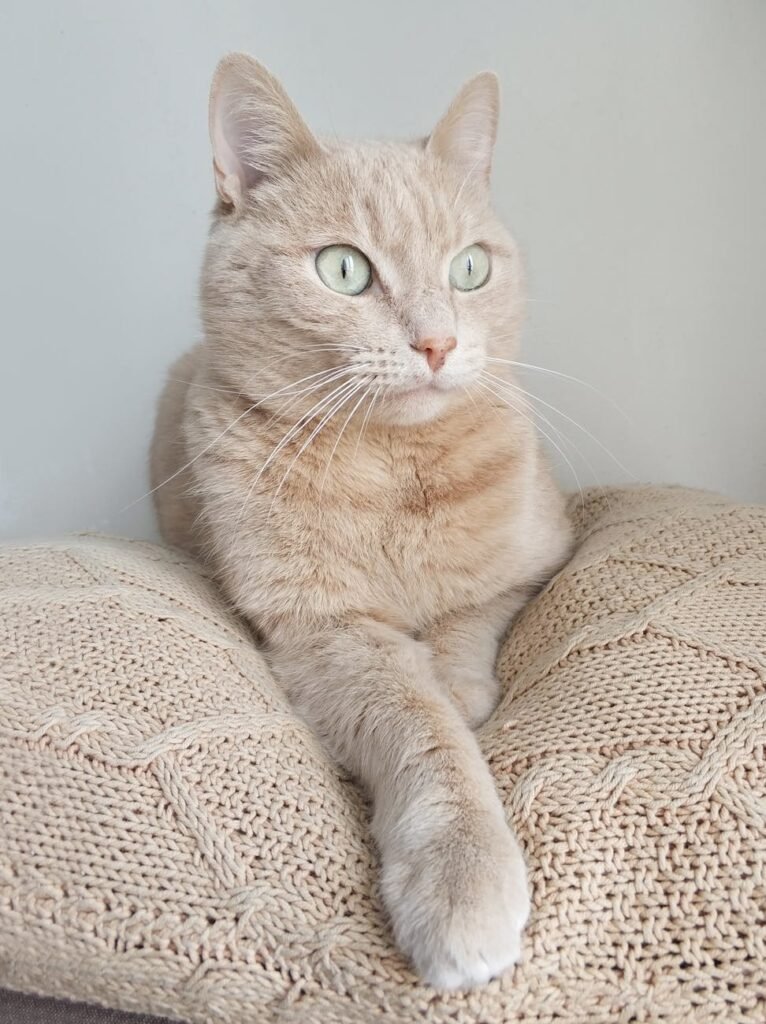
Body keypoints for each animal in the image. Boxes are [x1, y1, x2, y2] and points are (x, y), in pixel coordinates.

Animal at [149, 51, 573, 987]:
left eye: (470, 269)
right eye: (344, 269)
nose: (438, 344)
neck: (393, 471)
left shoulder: (533, 563)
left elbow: (464, 624)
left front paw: (459, 682)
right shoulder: (323, 632)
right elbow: (420, 725)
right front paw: (462, 874)